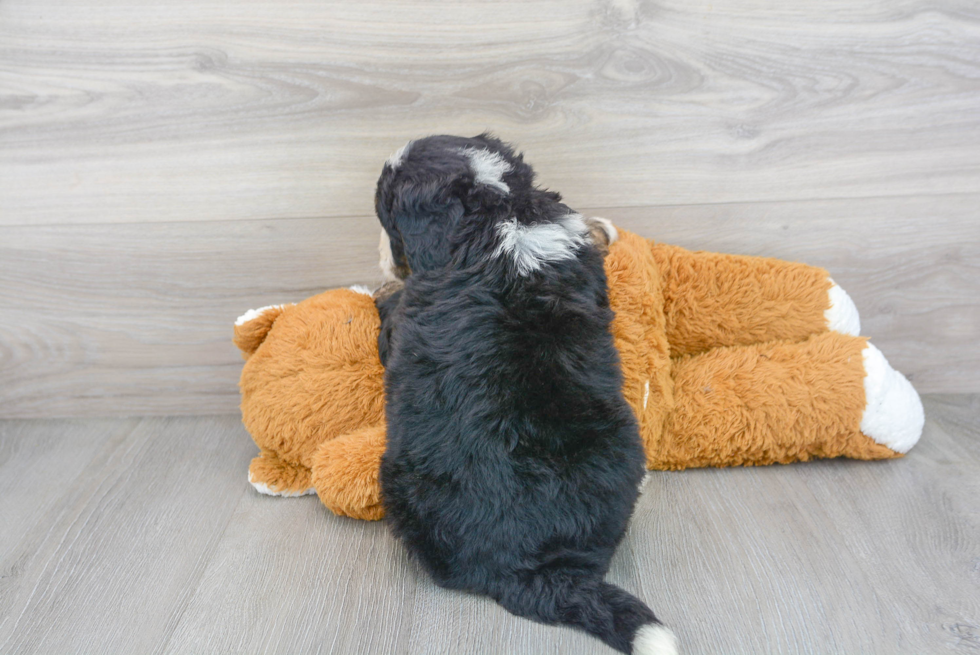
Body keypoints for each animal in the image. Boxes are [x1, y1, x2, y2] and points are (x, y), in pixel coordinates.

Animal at [374, 135, 672, 655]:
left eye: (387, 215)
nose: (382, 258)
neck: (499, 207)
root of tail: (534, 571)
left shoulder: (404, 317)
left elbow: (389, 316)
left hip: (400, 483)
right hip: (623, 446)